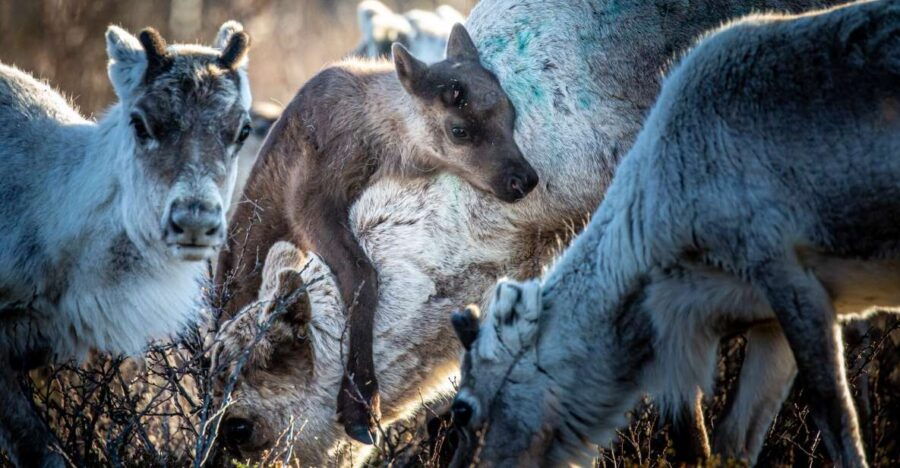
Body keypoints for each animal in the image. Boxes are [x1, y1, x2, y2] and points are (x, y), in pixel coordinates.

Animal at [216, 23, 538, 445]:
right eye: (459, 130)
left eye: (510, 112)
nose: (523, 179)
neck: (382, 138)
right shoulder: (311, 199)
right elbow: (363, 275)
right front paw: (361, 408)